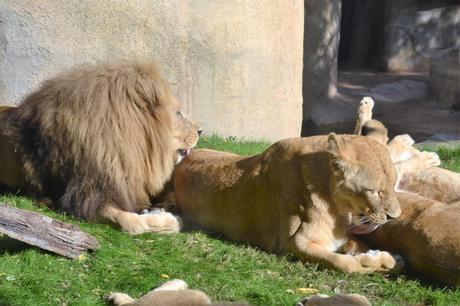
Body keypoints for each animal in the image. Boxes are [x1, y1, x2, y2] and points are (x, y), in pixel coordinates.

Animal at [174, 134, 400, 272]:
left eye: (394, 184)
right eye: (376, 192)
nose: (394, 217)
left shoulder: (342, 235)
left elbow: (358, 244)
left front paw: (384, 258)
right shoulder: (291, 243)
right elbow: (344, 263)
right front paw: (378, 262)